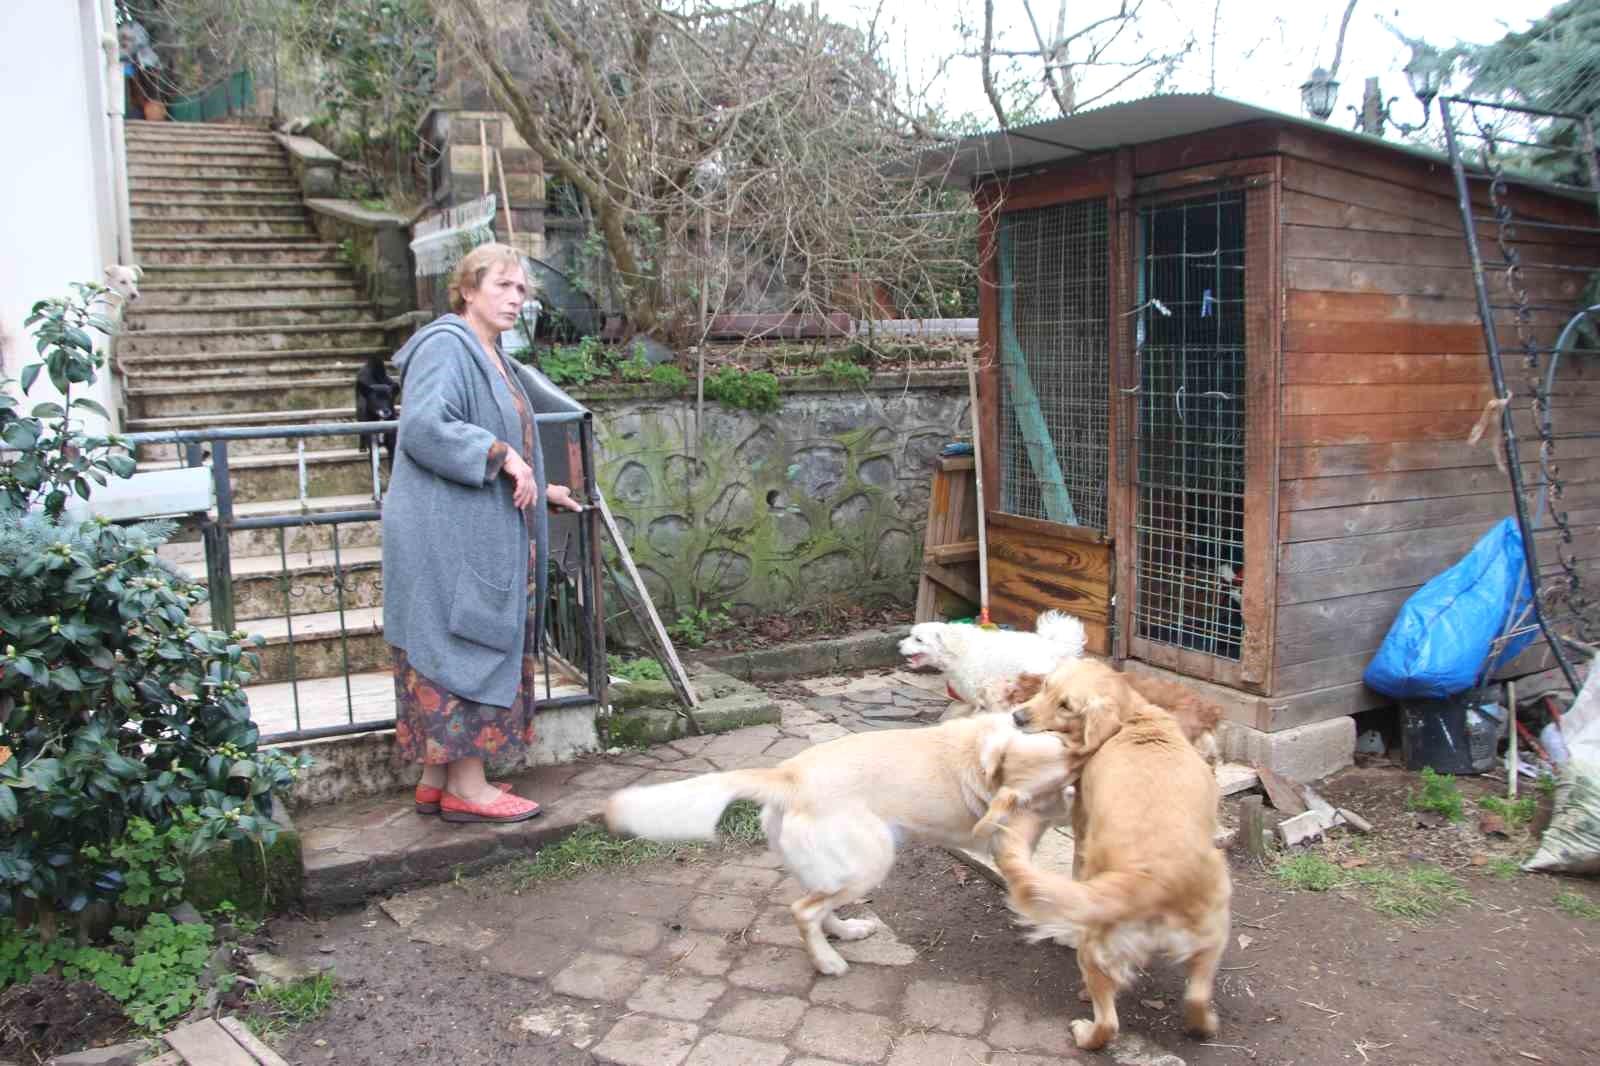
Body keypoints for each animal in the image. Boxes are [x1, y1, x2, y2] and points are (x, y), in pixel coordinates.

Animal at [601, 713, 1075, 973]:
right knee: (803, 911)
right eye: (1061, 779)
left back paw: (845, 932)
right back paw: (827, 962)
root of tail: (787, 775)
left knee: (817, 906)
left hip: (834, 868)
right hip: (873, 860)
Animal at [902, 605, 1088, 704]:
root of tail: (1055, 646)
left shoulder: (988, 690)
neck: (956, 649)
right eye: (910, 635)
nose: (899, 645)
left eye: (918, 640)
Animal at [979, 656, 1228, 1043]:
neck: (1132, 718)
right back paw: (1205, 1024)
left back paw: (1084, 1030)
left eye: (1066, 706)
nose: (1018, 717)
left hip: (1096, 947)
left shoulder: (1083, 828)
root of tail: (1156, 880)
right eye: (1046, 686)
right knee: (1197, 999)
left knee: (1108, 1023)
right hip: (1213, 933)